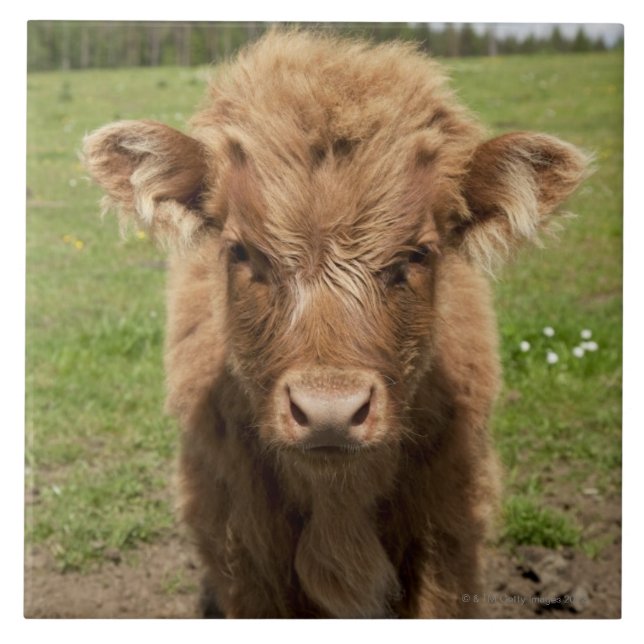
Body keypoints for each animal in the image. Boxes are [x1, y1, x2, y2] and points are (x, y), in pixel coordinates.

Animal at [83, 30, 588, 618]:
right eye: (241, 251)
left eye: (418, 253)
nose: (330, 412)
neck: (337, 506)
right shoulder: (242, 549)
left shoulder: (449, 531)